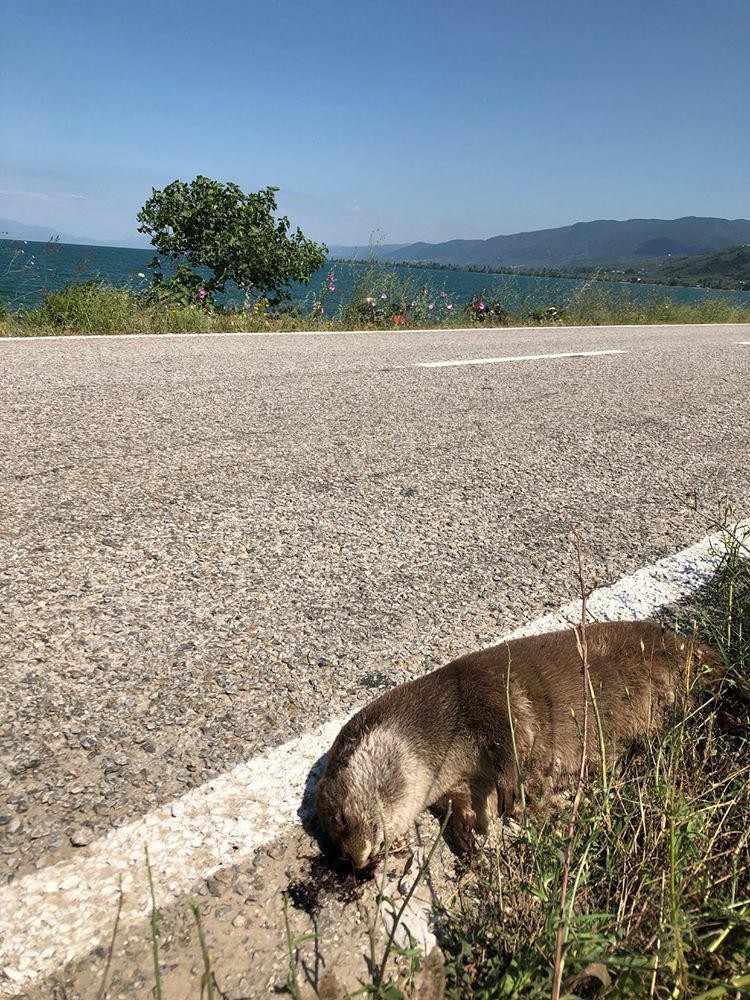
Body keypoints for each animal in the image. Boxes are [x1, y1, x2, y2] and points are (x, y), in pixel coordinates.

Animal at [316, 616, 724, 868]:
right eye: (334, 841)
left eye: (339, 819)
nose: (354, 860)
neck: (441, 719)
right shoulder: (454, 784)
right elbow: (461, 806)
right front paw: (468, 841)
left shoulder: (483, 693)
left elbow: (511, 734)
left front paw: (515, 792)